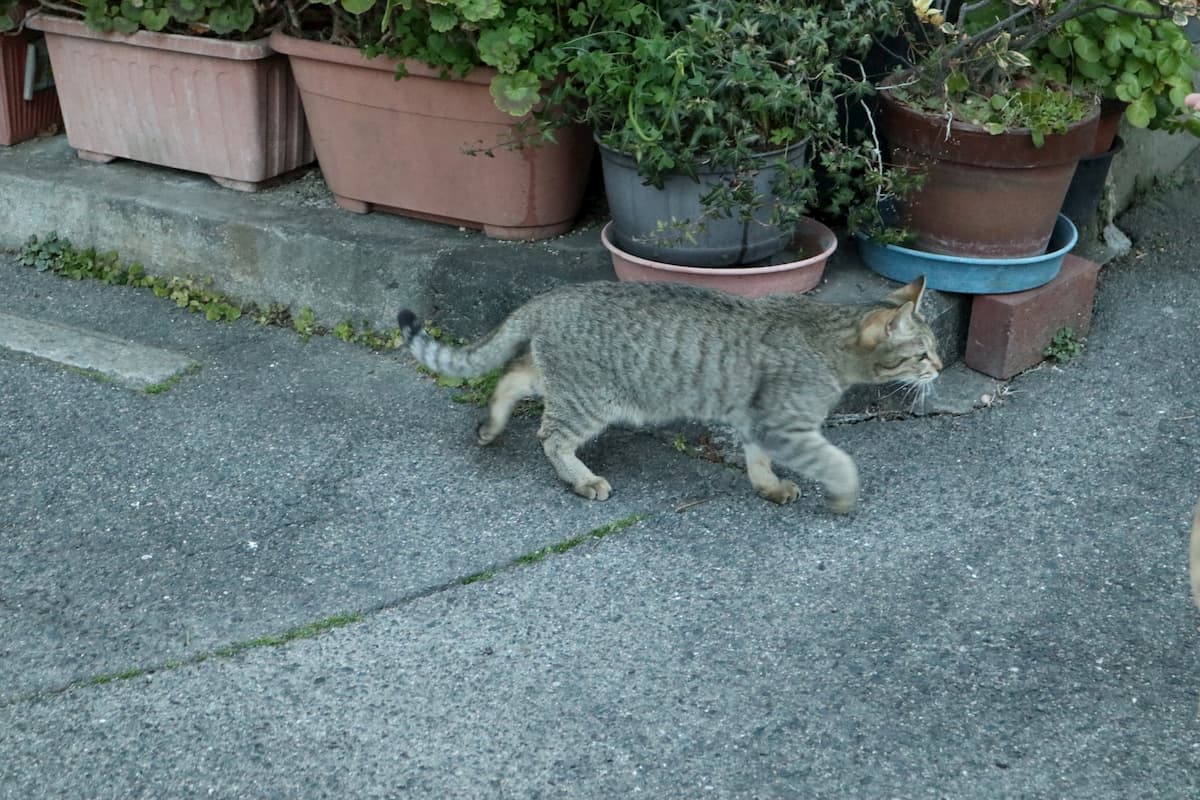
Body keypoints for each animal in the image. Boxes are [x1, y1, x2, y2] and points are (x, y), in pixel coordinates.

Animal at [398, 275, 940, 513]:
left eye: (934, 348)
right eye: (921, 354)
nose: (937, 368)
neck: (825, 336)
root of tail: (550, 296)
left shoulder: (758, 421)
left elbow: (758, 460)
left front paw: (768, 486)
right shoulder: (785, 425)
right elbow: (840, 462)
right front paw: (845, 495)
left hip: (562, 381)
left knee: (511, 375)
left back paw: (491, 427)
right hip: (588, 400)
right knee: (549, 436)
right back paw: (583, 480)